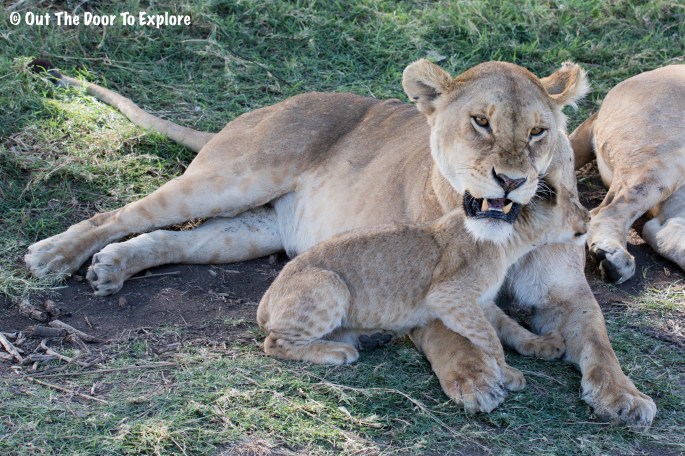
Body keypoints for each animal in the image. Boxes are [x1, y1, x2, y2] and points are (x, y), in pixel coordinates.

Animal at [258, 177, 588, 412]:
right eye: (574, 203)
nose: (589, 216)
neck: (511, 243)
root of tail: (266, 298)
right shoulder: (450, 295)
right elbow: (490, 339)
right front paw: (507, 372)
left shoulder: (480, 301)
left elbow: (509, 327)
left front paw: (541, 344)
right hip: (330, 284)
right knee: (274, 342)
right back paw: (339, 351)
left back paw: (370, 338)